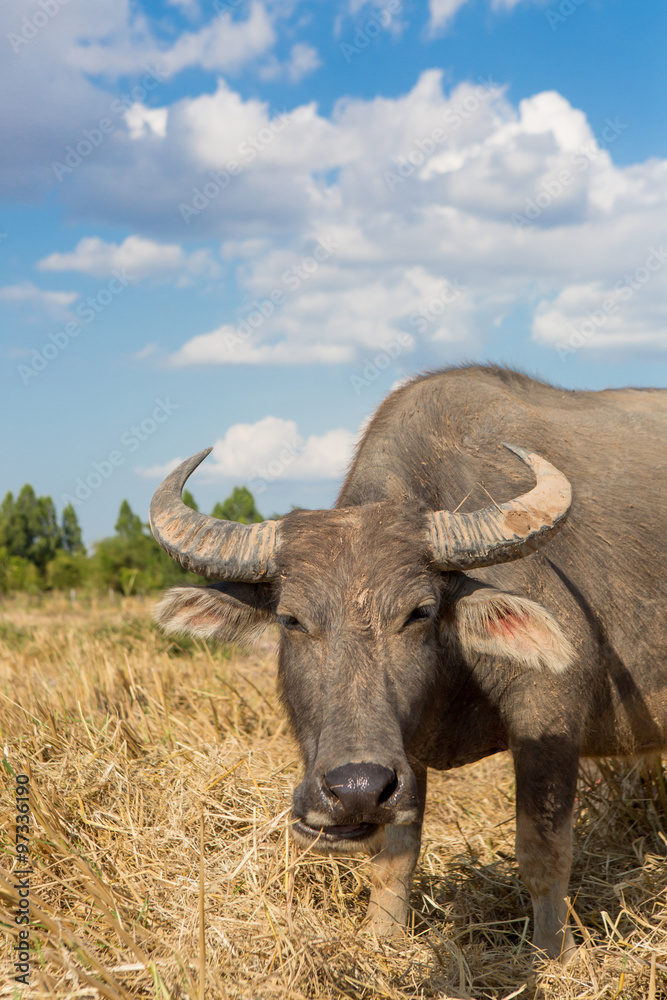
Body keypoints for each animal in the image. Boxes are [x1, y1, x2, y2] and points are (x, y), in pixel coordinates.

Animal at [151, 364, 667, 961]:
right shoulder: (401, 757)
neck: (451, 674)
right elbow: (394, 856)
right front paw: (383, 940)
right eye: (291, 619)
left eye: (419, 612)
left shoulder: (549, 718)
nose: (354, 788)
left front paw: (550, 953)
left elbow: (543, 852)